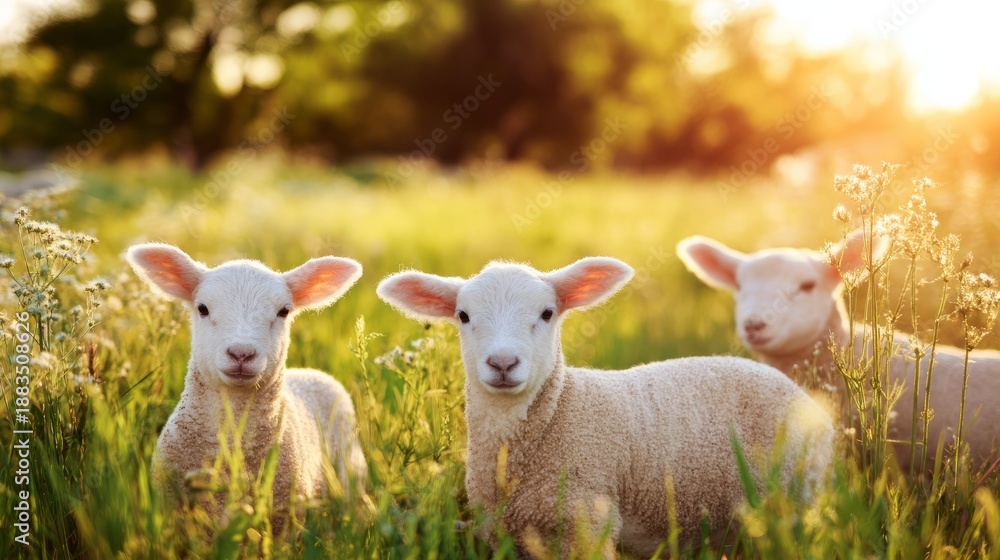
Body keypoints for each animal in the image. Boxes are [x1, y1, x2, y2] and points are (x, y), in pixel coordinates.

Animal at [376, 257, 833, 557]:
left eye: (547, 313)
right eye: (463, 315)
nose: (503, 363)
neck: (560, 411)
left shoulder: (588, 520)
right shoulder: (506, 532)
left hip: (795, 497)